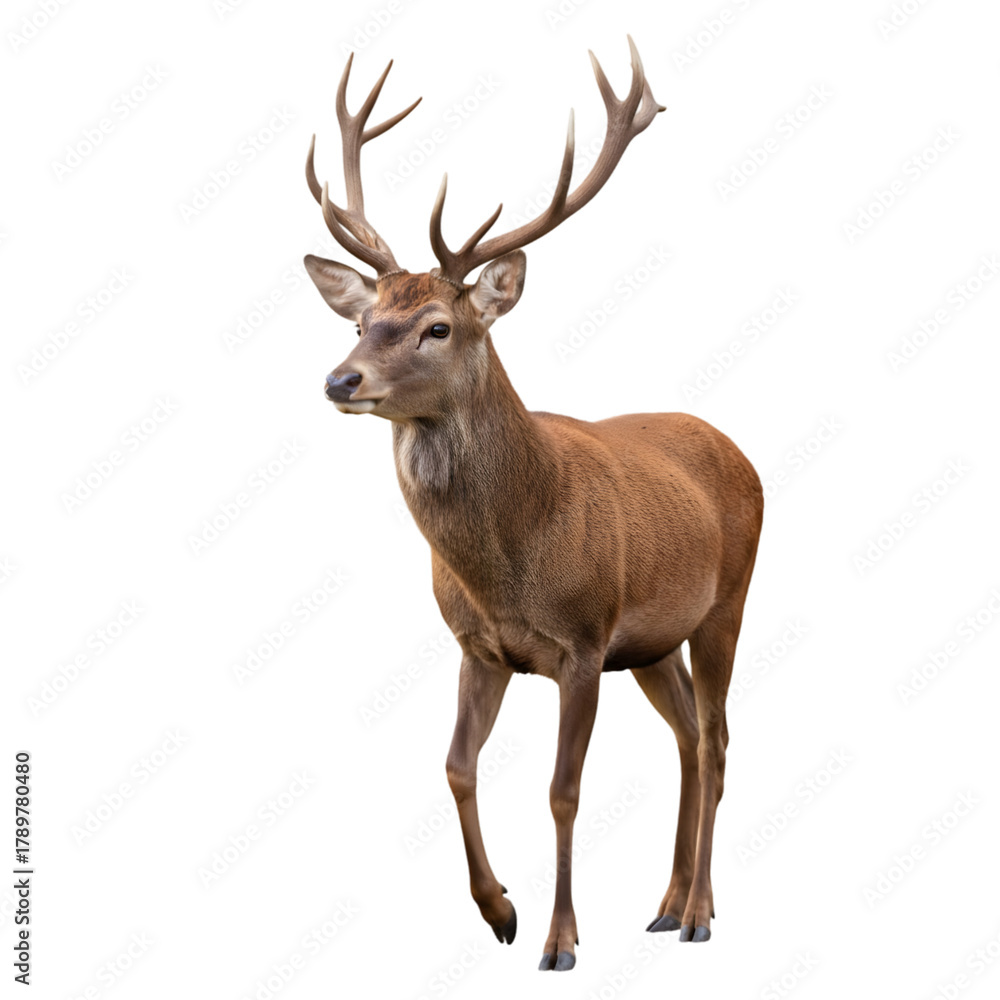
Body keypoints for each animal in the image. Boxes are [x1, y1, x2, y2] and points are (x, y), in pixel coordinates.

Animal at [303, 38, 763, 973]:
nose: (340, 380)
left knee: (721, 740)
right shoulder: (479, 647)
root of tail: (737, 447)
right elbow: (455, 766)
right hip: (654, 641)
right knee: (687, 737)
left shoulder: (583, 643)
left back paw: (701, 912)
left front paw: (560, 940)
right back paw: (664, 905)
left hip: (727, 603)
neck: (511, 565)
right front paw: (499, 911)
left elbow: (563, 791)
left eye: (438, 326)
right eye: (362, 320)